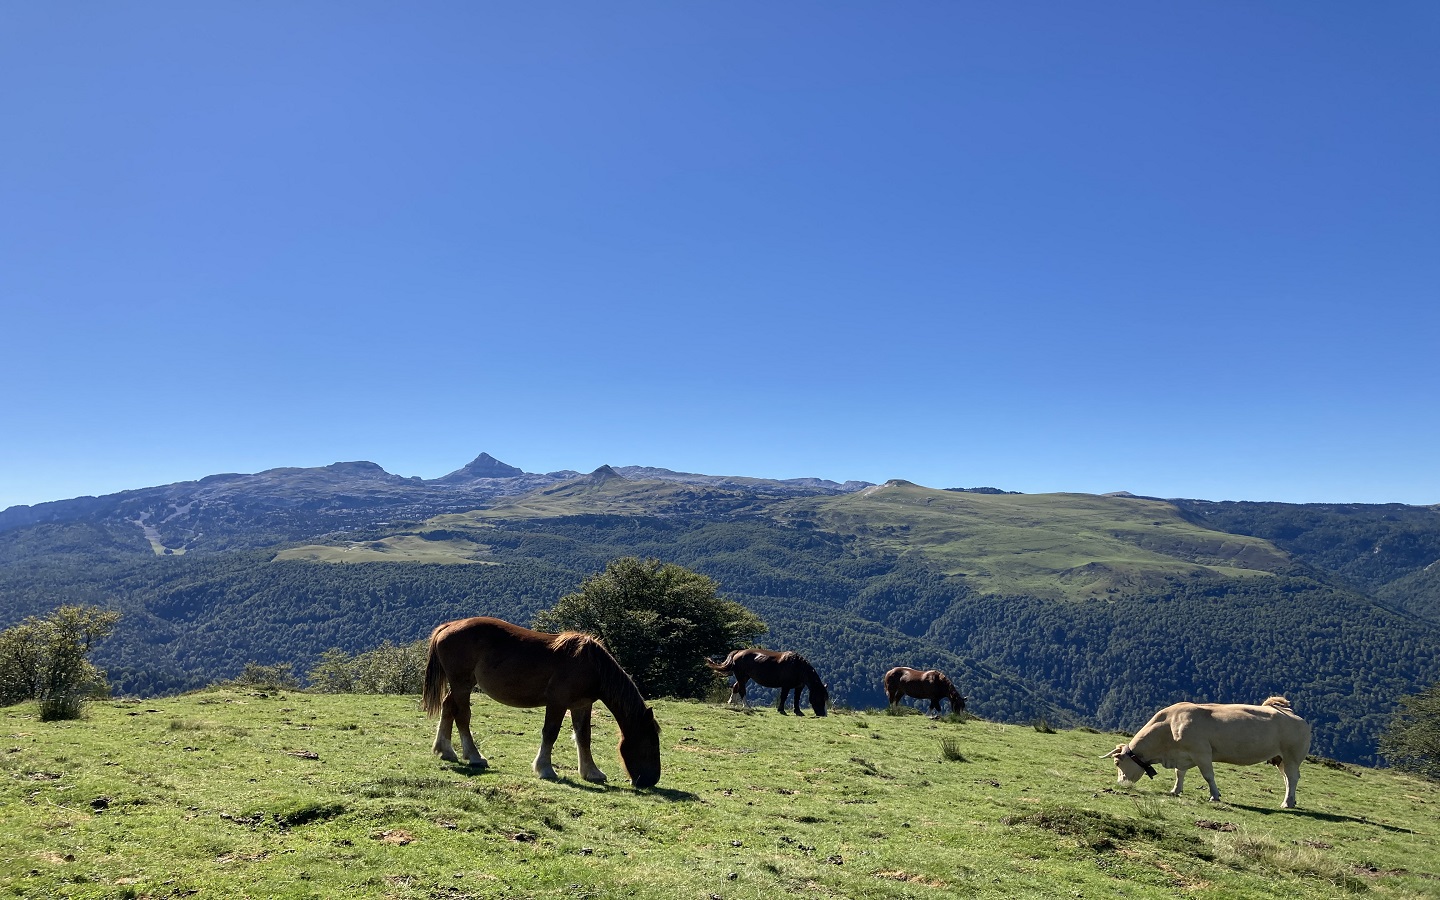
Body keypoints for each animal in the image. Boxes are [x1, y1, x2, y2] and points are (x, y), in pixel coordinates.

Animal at [420, 616, 659, 783]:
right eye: (649, 744)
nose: (651, 780)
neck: (591, 665)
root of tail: (448, 626)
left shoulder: (582, 705)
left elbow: (584, 737)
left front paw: (592, 772)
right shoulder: (557, 702)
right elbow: (550, 733)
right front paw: (545, 769)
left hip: (462, 685)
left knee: (448, 707)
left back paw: (446, 751)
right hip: (462, 684)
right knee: (462, 716)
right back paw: (475, 756)